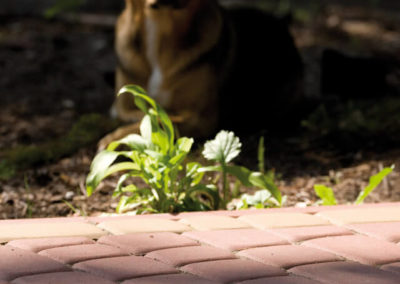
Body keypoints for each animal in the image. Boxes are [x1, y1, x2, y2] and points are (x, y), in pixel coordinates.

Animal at [106, 0, 304, 144]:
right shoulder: (124, 102)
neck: (161, 26)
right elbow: (143, 113)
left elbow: (163, 119)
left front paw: (119, 138)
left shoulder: (201, 118)